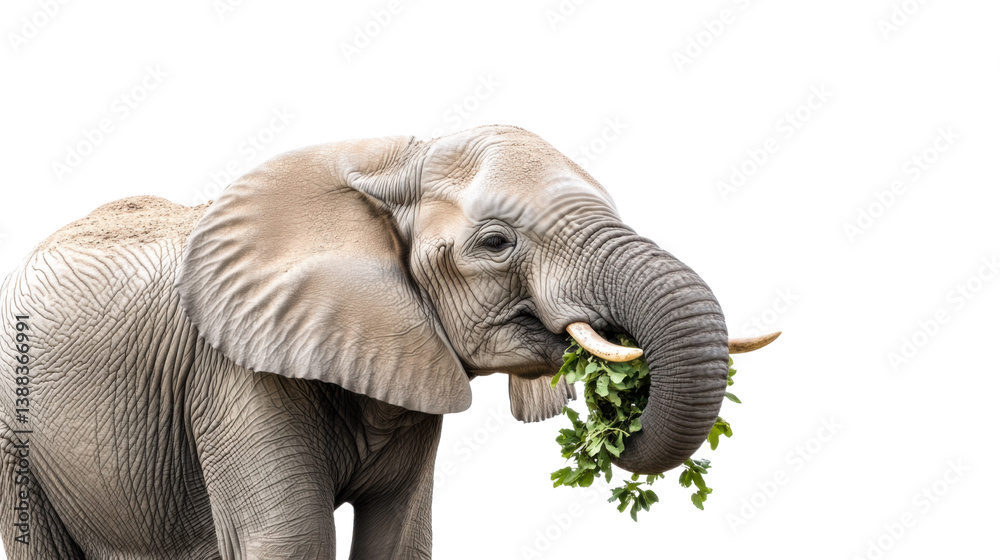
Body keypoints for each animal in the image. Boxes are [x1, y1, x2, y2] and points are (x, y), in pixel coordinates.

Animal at [0, 125, 776, 559]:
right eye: (495, 243)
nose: (622, 413)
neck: (383, 166)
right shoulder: (231, 376)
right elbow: (290, 543)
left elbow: (400, 540)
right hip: (17, 426)